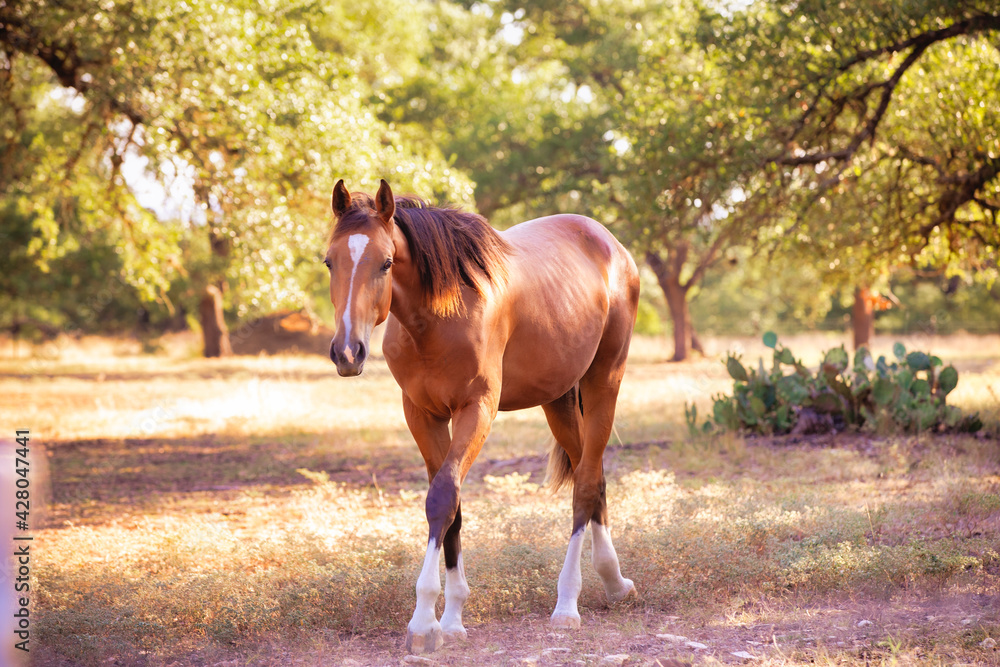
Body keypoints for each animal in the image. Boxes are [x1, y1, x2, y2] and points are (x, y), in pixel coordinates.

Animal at [324, 179, 640, 654]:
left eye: (386, 262)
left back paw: (568, 603)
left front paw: (424, 622)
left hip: (605, 382)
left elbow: (441, 498)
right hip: (557, 400)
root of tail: (610, 244)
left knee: (585, 486)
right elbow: (451, 506)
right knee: (594, 476)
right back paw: (614, 582)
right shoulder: (423, 415)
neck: (440, 315)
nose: (347, 353)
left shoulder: (478, 411)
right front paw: (452, 618)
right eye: (329, 261)